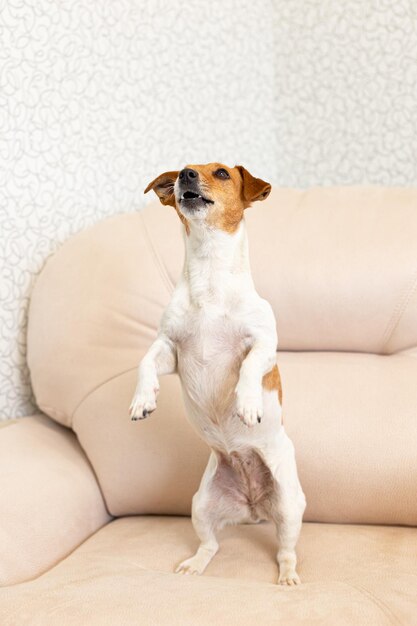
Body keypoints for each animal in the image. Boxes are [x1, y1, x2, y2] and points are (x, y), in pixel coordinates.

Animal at [130, 163, 306, 584]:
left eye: (223, 173)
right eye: (182, 170)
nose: (185, 175)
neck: (209, 275)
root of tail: (253, 507)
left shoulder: (264, 345)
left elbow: (250, 366)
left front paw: (247, 403)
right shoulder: (170, 349)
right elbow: (146, 361)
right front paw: (142, 400)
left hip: (290, 506)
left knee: (286, 550)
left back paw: (288, 576)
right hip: (202, 504)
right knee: (210, 545)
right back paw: (194, 565)